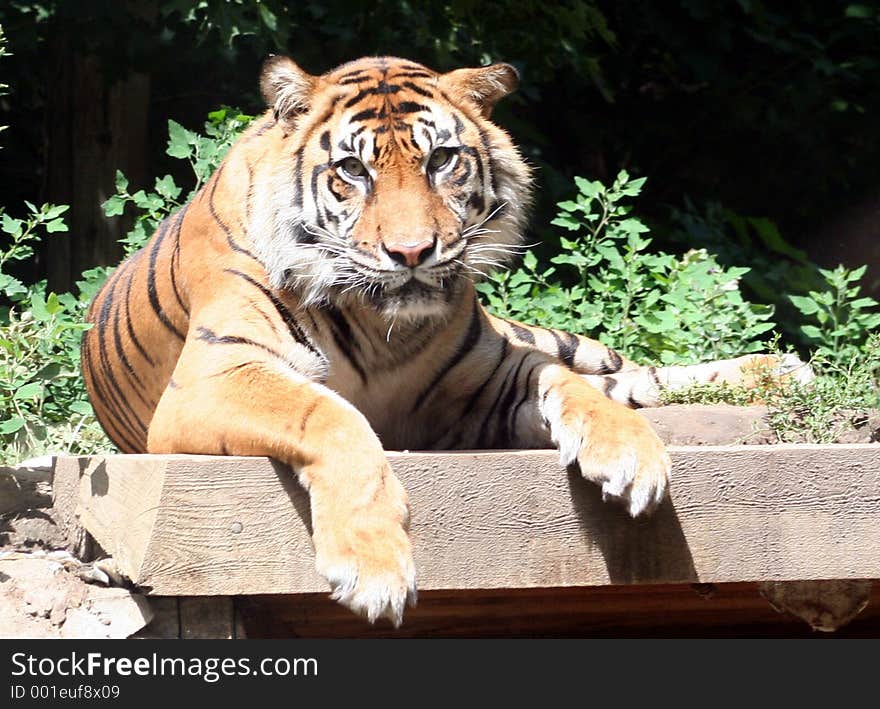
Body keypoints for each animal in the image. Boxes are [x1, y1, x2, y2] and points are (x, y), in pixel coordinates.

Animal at [82, 55, 812, 624]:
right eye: (353, 170)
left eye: (441, 160)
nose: (412, 252)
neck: (381, 324)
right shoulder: (214, 378)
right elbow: (330, 414)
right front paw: (374, 568)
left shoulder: (489, 381)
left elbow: (564, 382)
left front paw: (629, 454)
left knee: (626, 372)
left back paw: (781, 370)